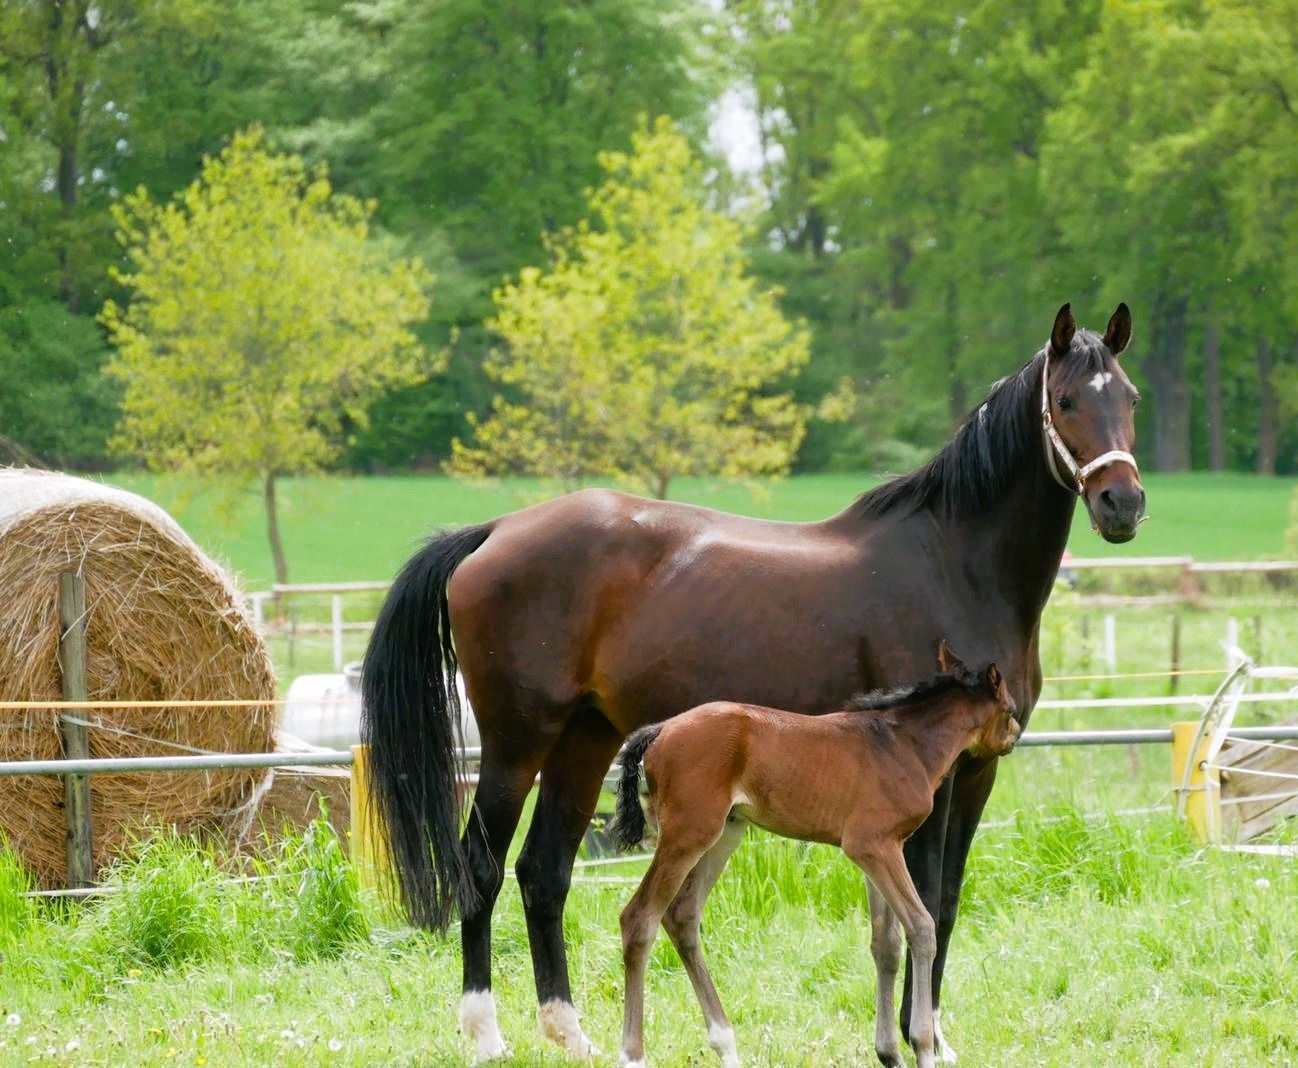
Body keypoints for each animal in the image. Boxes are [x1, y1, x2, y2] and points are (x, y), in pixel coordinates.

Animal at [611, 643, 1020, 1068]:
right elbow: (922, 927)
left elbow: (886, 945)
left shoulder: (878, 852)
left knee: (682, 916)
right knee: (639, 919)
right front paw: (923, 1046)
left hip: (724, 832)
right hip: (688, 834)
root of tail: (659, 730)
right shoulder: (873, 845)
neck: (902, 744)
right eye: (1010, 710)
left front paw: (889, 1052)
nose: (1014, 737)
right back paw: (633, 1055)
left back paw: (726, 1045)